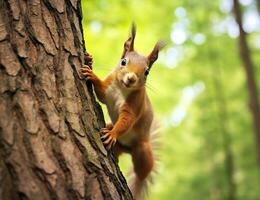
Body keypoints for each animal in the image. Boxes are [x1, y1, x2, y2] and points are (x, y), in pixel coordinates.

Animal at [80, 23, 165, 198]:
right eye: (123, 61)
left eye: (147, 71)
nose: (131, 78)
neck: (122, 89)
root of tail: (126, 148)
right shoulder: (107, 89)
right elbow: (100, 92)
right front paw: (90, 68)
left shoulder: (134, 105)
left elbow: (127, 121)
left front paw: (113, 134)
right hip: (120, 147)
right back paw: (108, 127)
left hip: (141, 148)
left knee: (143, 171)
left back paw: (138, 181)